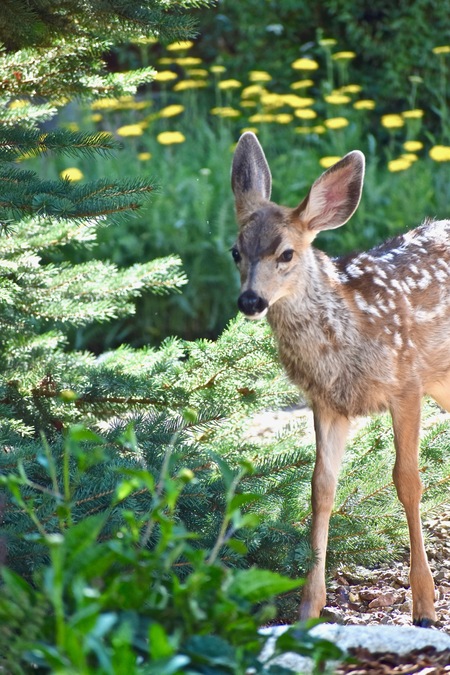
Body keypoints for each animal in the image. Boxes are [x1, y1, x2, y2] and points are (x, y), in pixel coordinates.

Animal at [230, 132, 448, 628]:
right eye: (236, 252)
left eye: (286, 253)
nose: (250, 300)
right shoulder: (327, 403)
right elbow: (320, 488)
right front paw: (308, 606)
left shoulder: (407, 382)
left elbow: (407, 480)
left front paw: (425, 605)